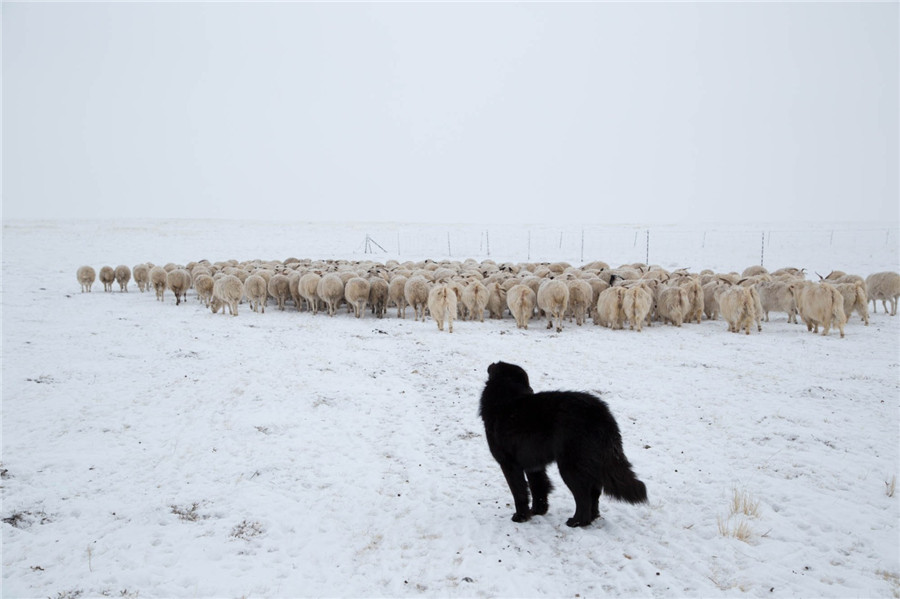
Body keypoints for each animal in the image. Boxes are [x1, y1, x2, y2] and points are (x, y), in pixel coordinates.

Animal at [482, 360, 644, 524]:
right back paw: (591, 517)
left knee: (583, 496)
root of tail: (600, 413)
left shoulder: (509, 464)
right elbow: (538, 487)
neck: (506, 400)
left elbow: (519, 492)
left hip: (570, 467)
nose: (532, 390)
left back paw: (577, 522)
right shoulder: (533, 464)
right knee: (594, 494)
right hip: (591, 464)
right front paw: (538, 511)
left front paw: (521, 516)